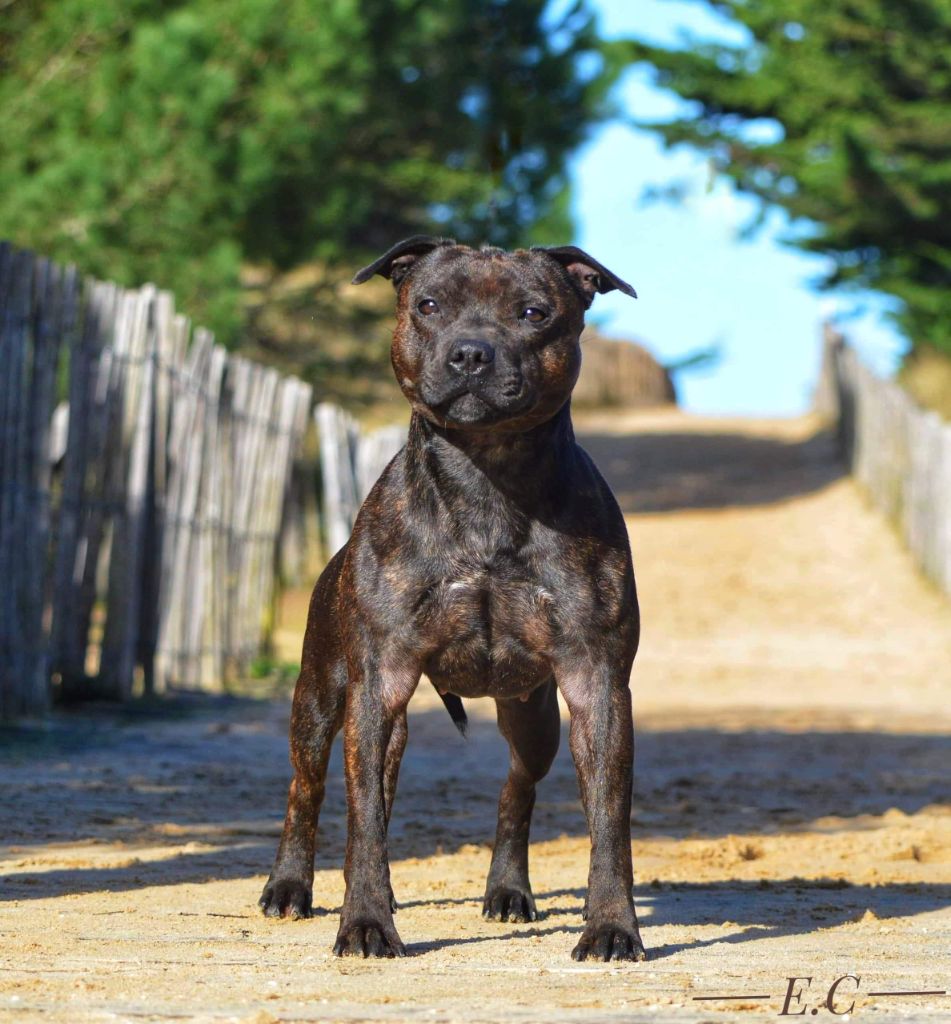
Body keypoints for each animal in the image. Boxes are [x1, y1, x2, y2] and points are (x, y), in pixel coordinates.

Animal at [260, 235, 646, 962]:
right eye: (430, 304)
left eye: (533, 311)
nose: (470, 352)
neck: (486, 482)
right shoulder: (378, 680)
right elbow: (363, 820)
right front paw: (365, 923)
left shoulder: (597, 683)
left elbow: (609, 820)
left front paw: (611, 927)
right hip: (325, 698)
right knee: (313, 785)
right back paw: (291, 886)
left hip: (532, 715)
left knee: (516, 785)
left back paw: (507, 891)